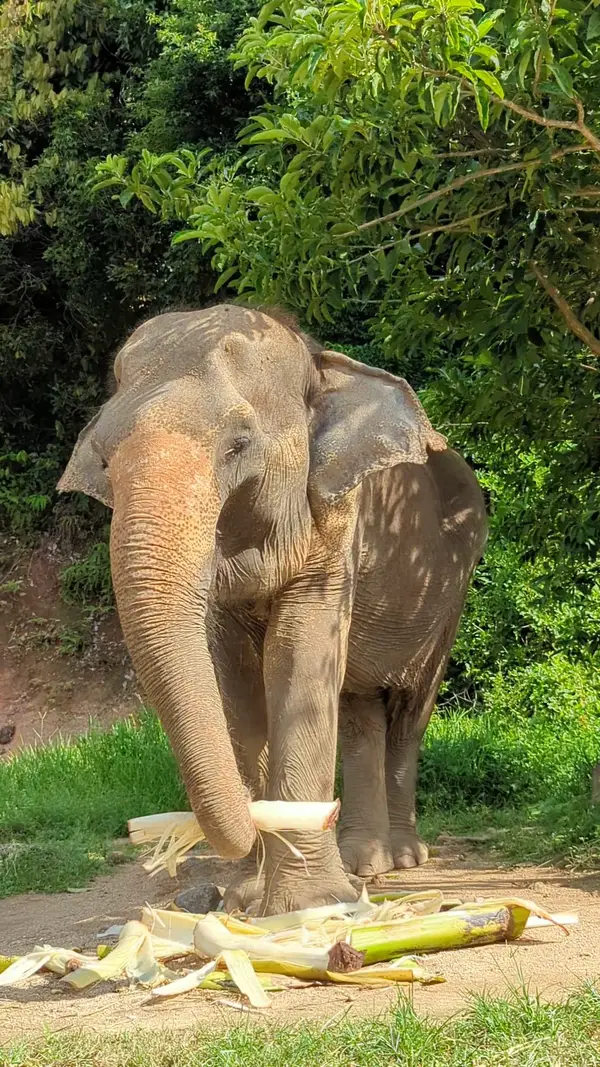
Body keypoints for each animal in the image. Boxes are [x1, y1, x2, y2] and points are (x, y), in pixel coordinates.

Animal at [58, 304, 487, 915]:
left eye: (238, 445)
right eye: (102, 459)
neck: (316, 363)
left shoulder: (338, 518)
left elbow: (296, 652)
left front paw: (312, 904)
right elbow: (235, 676)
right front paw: (251, 898)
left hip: (451, 591)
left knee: (410, 709)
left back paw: (400, 861)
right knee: (357, 705)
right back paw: (365, 864)